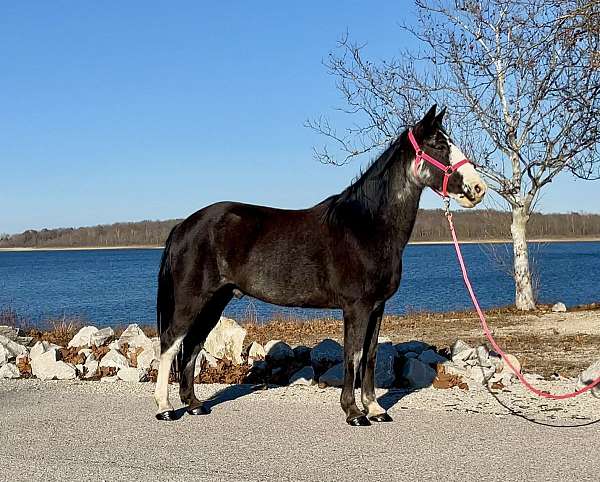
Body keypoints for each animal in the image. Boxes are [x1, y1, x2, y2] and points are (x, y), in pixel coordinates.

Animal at [152, 104, 486, 426]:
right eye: (439, 145)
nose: (478, 188)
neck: (366, 227)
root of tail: (183, 226)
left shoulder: (377, 307)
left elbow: (371, 356)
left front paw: (375, 408)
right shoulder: (356, 307)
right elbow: (353, 356)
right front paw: (354, 413)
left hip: (215, 301)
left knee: (192, 346)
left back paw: (194, 405)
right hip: (192, 301)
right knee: (170, 344)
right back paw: (165, 408)